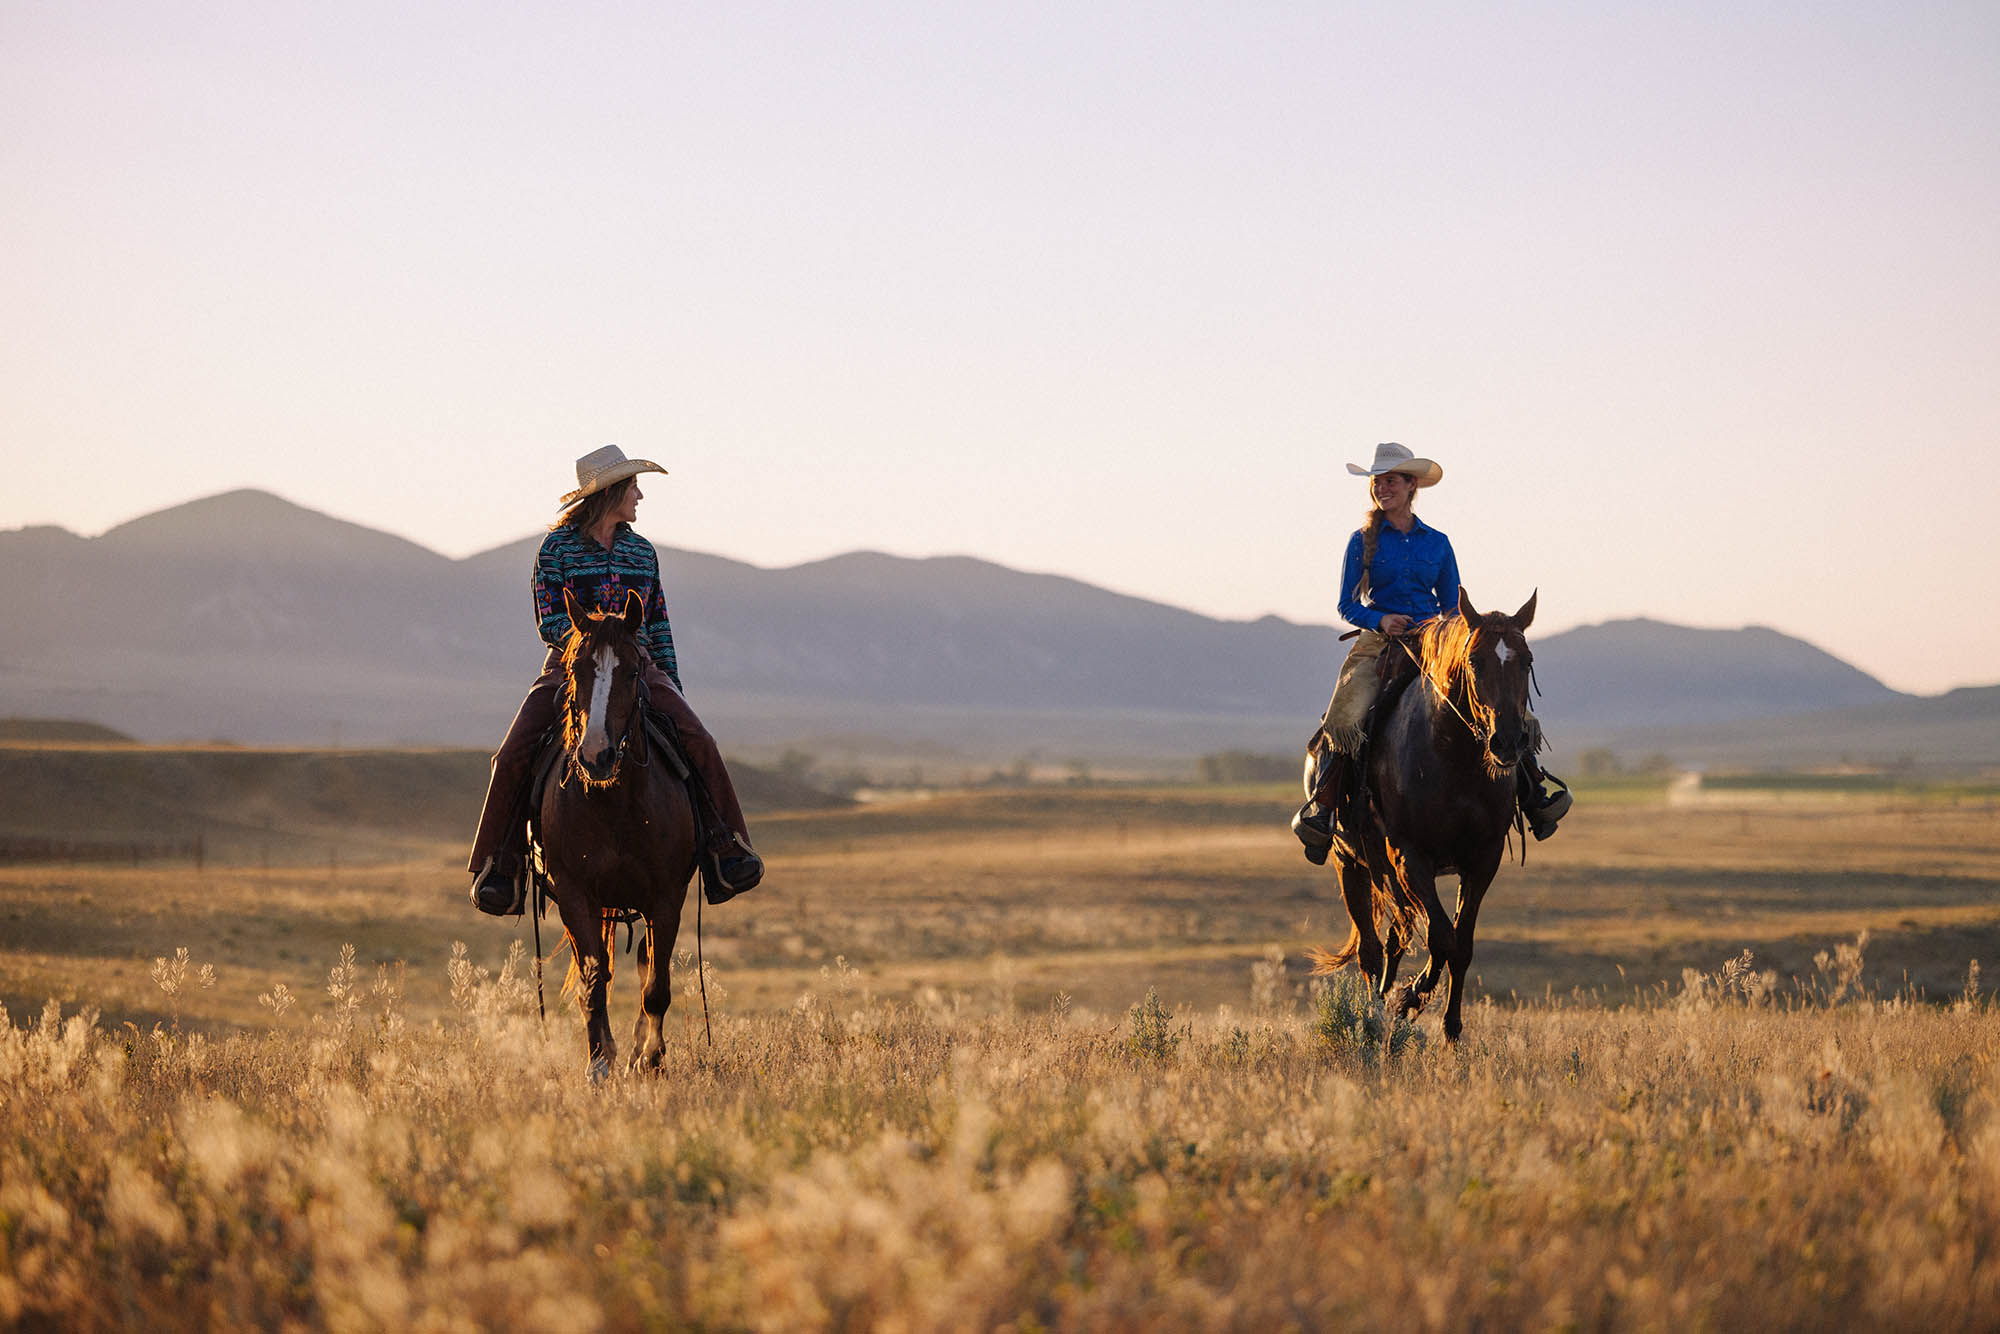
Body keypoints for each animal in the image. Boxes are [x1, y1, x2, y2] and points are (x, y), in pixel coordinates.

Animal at [532, 586, 701, 1078]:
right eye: (575, 668)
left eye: (634, 669)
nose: (596, 756)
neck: (615, 805)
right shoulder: (574, 895)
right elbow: (593, 982)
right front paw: (599, 1064)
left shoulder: (666, 897)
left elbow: (656, 986)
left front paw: (650, 1060)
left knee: (645, 964)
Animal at [1310, 587, 1540, 1042]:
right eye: (1475, 660)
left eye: (1526, 660)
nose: (1507, 742)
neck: (1455, 760)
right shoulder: (1411, 859)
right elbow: (1441, 936)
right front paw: (1409, 997)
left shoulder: (1481, 862)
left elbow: (1460, 944)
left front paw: (1450, 1027)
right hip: (1350, 863)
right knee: (1370, 950)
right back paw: (1373, 1011)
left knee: (1397, 935)